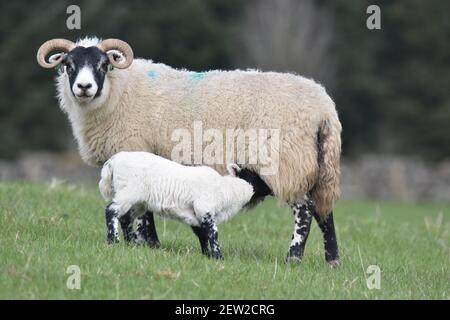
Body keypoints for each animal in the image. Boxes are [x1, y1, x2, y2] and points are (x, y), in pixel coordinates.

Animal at [99, 151, 255, 258]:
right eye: (254, 176)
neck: (225, 188)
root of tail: (113, 161)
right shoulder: (204, 209)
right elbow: (213, 233)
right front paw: (218, 257)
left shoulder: (195, 215)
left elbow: (202, 234)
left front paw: (207, 255)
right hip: (129, 192)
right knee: (111, 211)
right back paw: (113, 241)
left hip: (139, 203)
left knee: (125, 218)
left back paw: (130, 244)